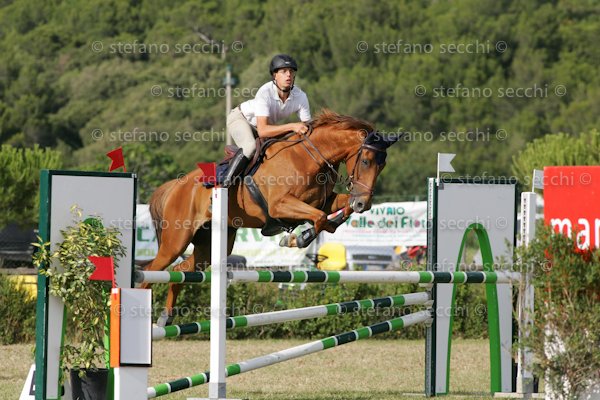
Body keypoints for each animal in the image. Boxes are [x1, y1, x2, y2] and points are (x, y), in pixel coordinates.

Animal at [142, 109, 399, 325]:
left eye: (383, 165)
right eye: (365, 161)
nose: (364, 203)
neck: (309, 159)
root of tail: (175, 186)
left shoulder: (323, 201)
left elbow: (335, 211)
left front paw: (326, 226)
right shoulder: (280, 205)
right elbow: (319, 218)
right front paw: (297, 238)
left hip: (209, 246)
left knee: (181, 270)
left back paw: (165, 317)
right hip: (176, 240)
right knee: (152, 270)